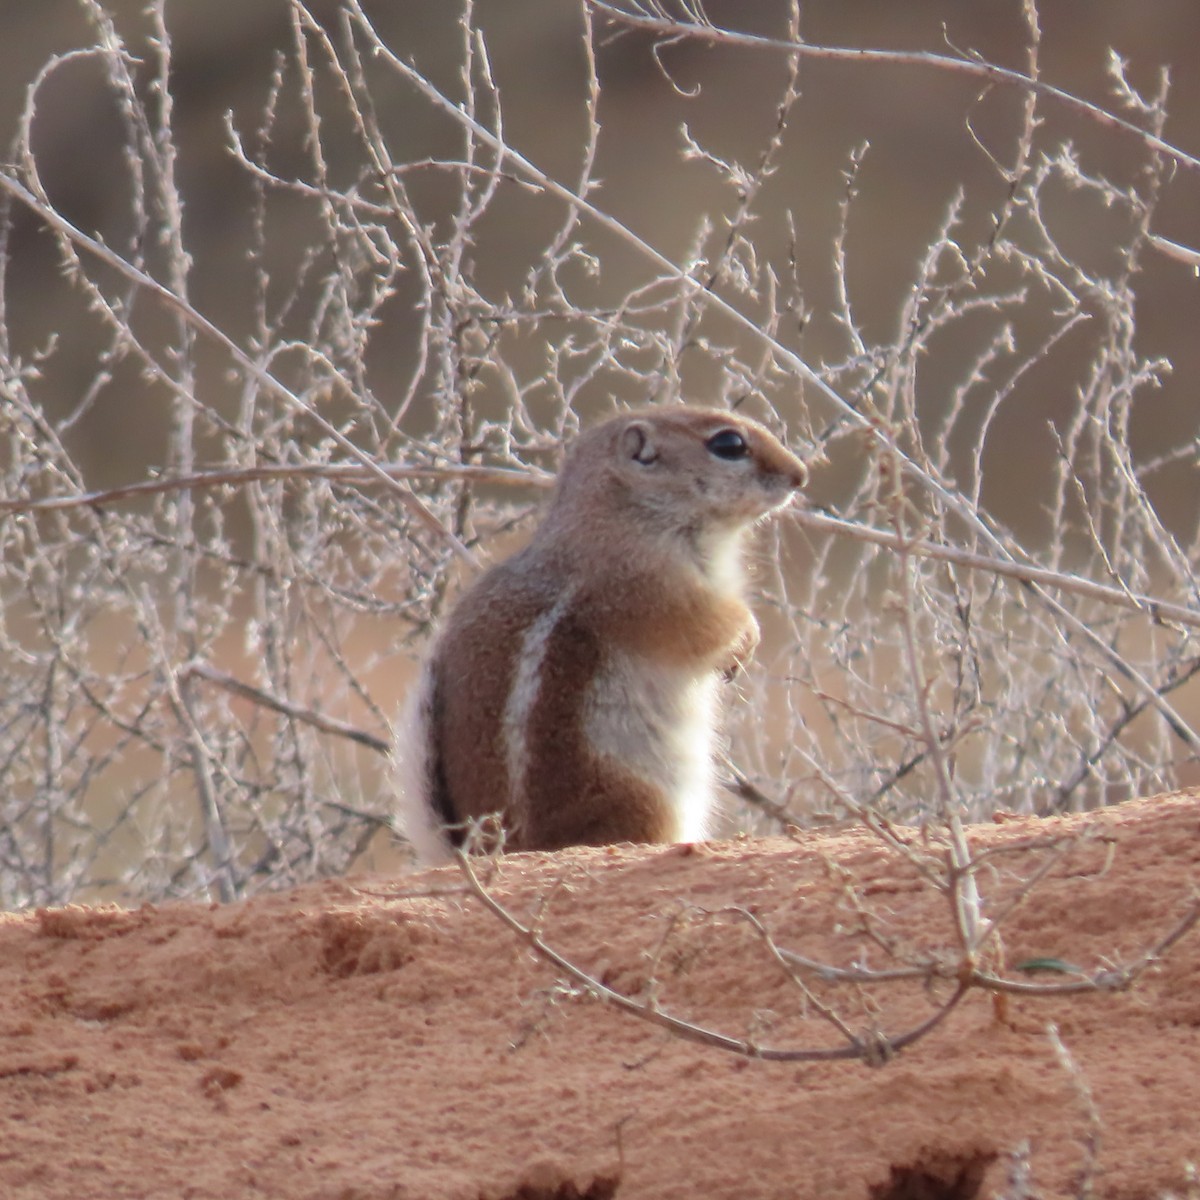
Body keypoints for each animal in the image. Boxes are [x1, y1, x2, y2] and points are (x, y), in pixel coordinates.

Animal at [392, 405, 808, 863]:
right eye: (729, 444)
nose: (800, 475)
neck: (622, 512)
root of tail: (489, 850)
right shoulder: (655, 591)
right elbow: (710, 628)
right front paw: (746, 638)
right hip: (639, 796)